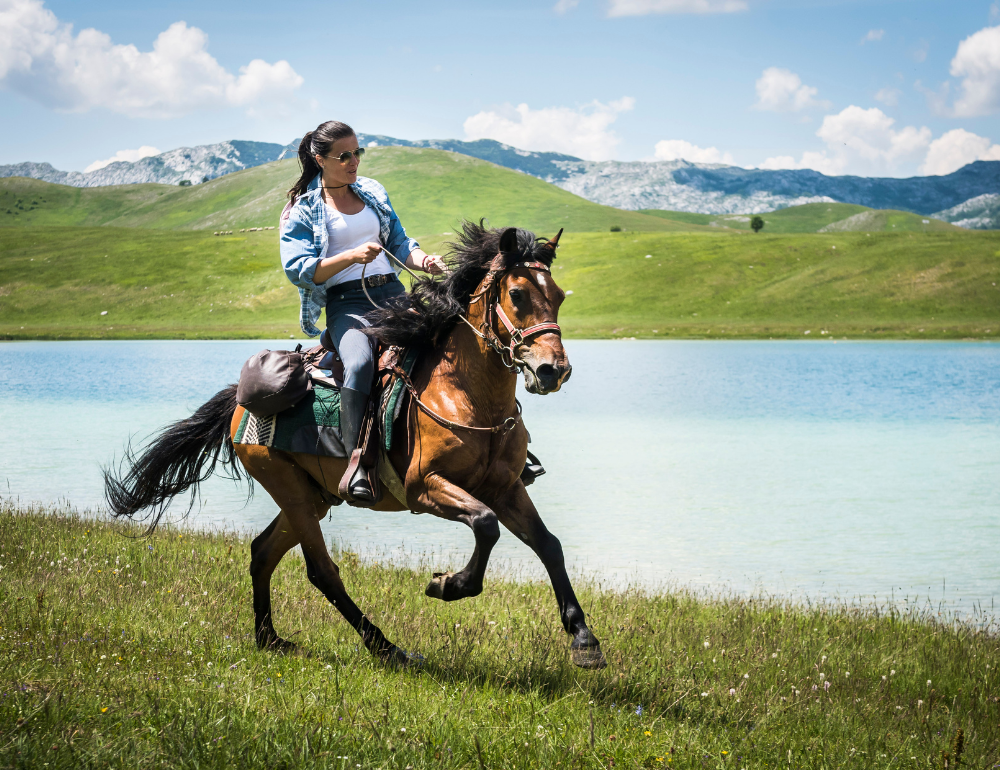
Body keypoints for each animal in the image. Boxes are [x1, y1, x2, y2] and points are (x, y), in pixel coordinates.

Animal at [110, 220, 608, 664]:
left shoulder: (506, 487)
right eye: (518, 294)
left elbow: (548, 544)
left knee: (262, 553)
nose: (553, 370)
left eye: (558, 296)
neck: (465, 393)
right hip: (289, 490)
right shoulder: (425, 488)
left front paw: (584, 640)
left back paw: (270, 639)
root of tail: (238, 401)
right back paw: (387, 649)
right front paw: (447, 585)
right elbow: (486, 525)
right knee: (322, 572)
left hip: (311, 496)